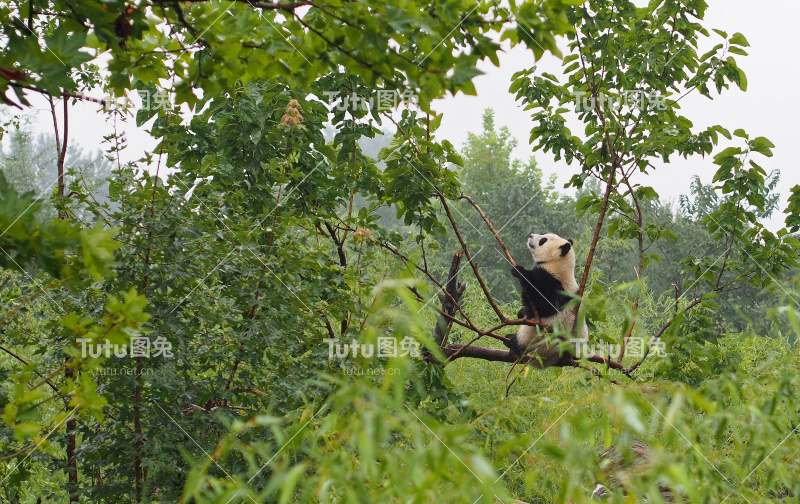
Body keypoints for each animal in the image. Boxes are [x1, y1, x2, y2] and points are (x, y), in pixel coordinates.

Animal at [506, 232, 588, 366]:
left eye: (543, 240)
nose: (531, 235)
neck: (557, 264)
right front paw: (522, 312)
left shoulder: (554, 283)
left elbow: (545, 305)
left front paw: (520, 271)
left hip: (539, 341)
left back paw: (512, 340)